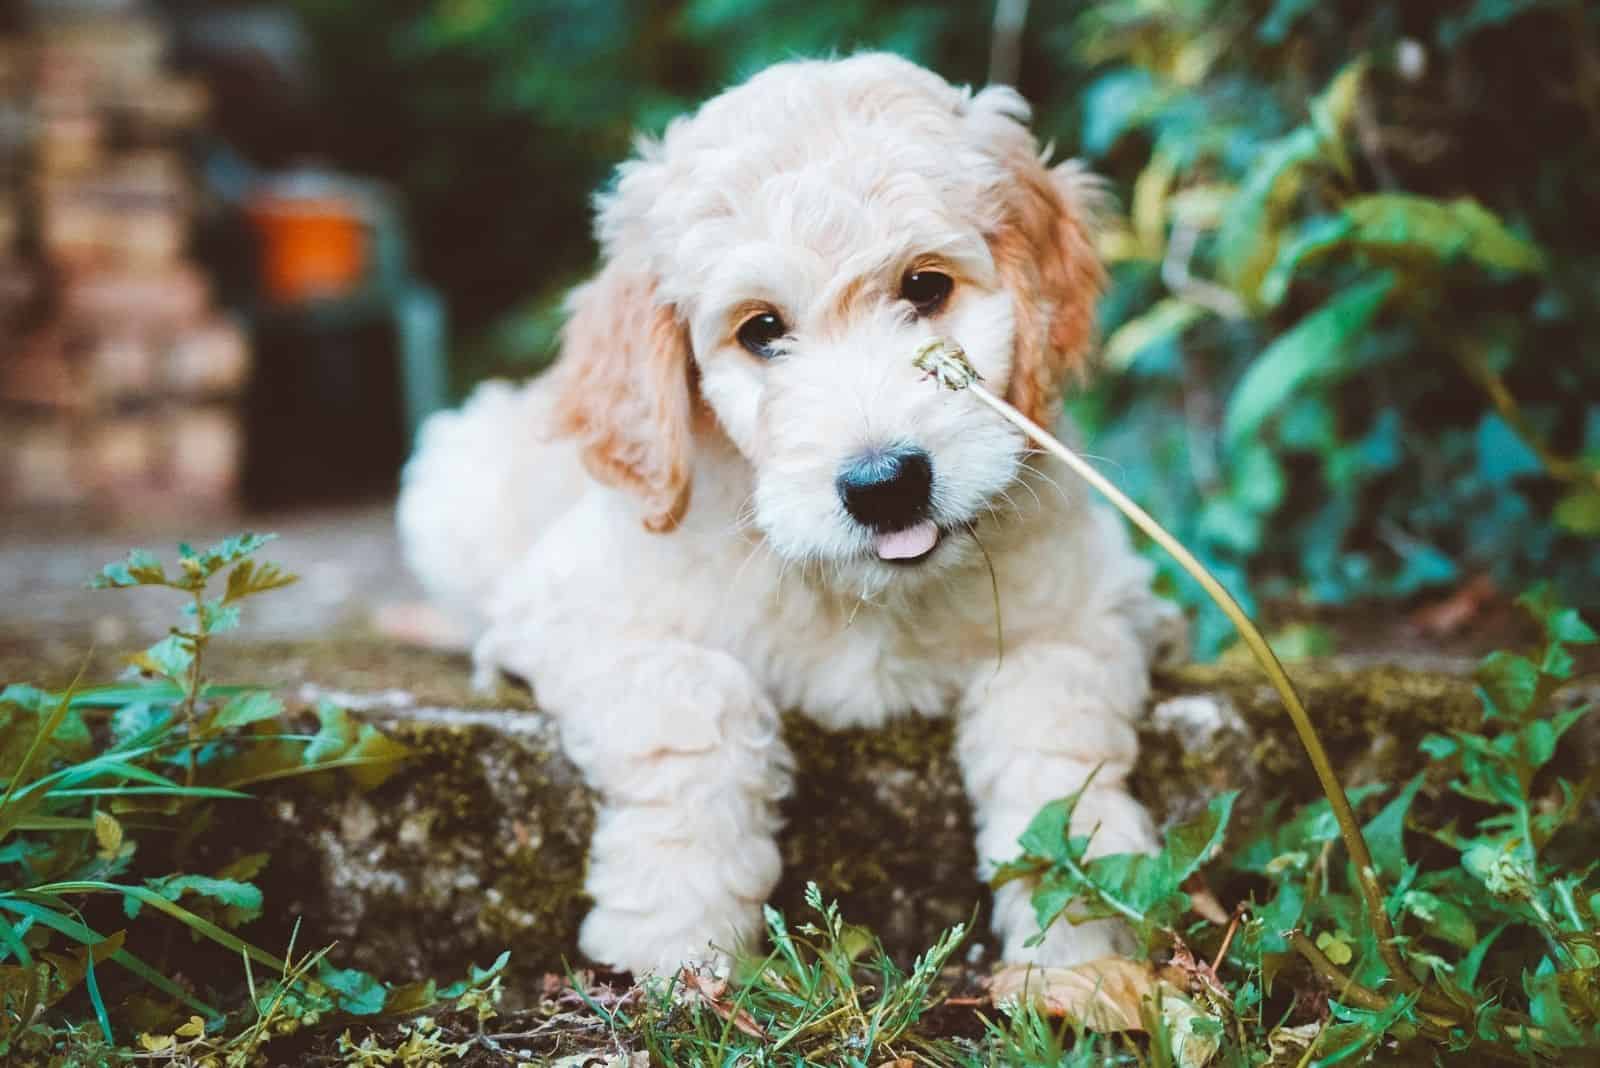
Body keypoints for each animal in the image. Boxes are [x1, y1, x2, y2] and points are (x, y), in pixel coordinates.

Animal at [395, 56, 1184, 978]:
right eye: (761, 330)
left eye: (926, 287)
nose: (886, 484)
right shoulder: (572, 608)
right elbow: (696, 695)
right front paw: (677, 933)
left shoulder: (1095, 598)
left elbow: (1054, 720)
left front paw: (1083, 929)